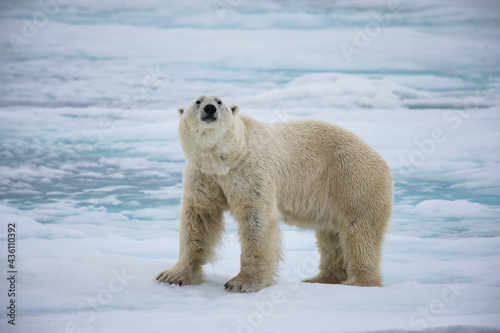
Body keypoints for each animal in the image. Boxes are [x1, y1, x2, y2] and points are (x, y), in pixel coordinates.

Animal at [157, 94, 394, 292]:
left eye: (219, 101)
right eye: (198, 101)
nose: (209, 109)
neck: (227, 157)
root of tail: (381, 159)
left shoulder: (251, 169)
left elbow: (256, 218)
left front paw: (242, 282)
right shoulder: (203, 174)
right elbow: (199, 217)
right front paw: (172, 276)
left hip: (353, 180)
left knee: (359, 232)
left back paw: (360, 282)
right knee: (331, 236)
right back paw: (321, 278)